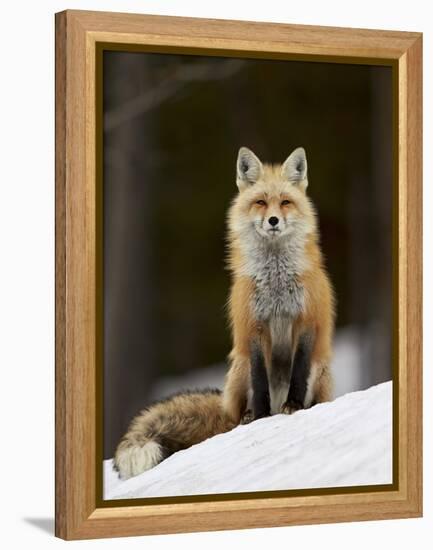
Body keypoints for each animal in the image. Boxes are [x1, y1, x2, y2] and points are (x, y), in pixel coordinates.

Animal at [112, 149, 334, 480]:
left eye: (285, 202)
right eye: (260, 202)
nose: (273, 220)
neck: (276, 281)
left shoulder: (306, 321)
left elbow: (298, 371)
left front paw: (294, 406)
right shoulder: (252, 327)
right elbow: (260, 380)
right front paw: (261, 416)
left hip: (320, 371)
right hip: (238, 368)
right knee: (239, 408)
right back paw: (247, 417)